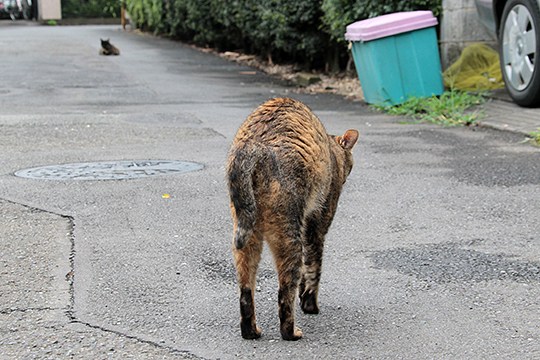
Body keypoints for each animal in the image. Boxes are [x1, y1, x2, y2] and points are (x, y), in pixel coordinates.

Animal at [227, 97, 358, 340]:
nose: (347, 176)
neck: (331, 150)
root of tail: (254, 145)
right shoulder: (317, 223)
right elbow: (313, 268)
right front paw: (309, 304)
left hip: (246, 233)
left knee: (246, 289)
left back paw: (251, 331)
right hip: (288, 232)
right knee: (285, 288)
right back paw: (291, 331)